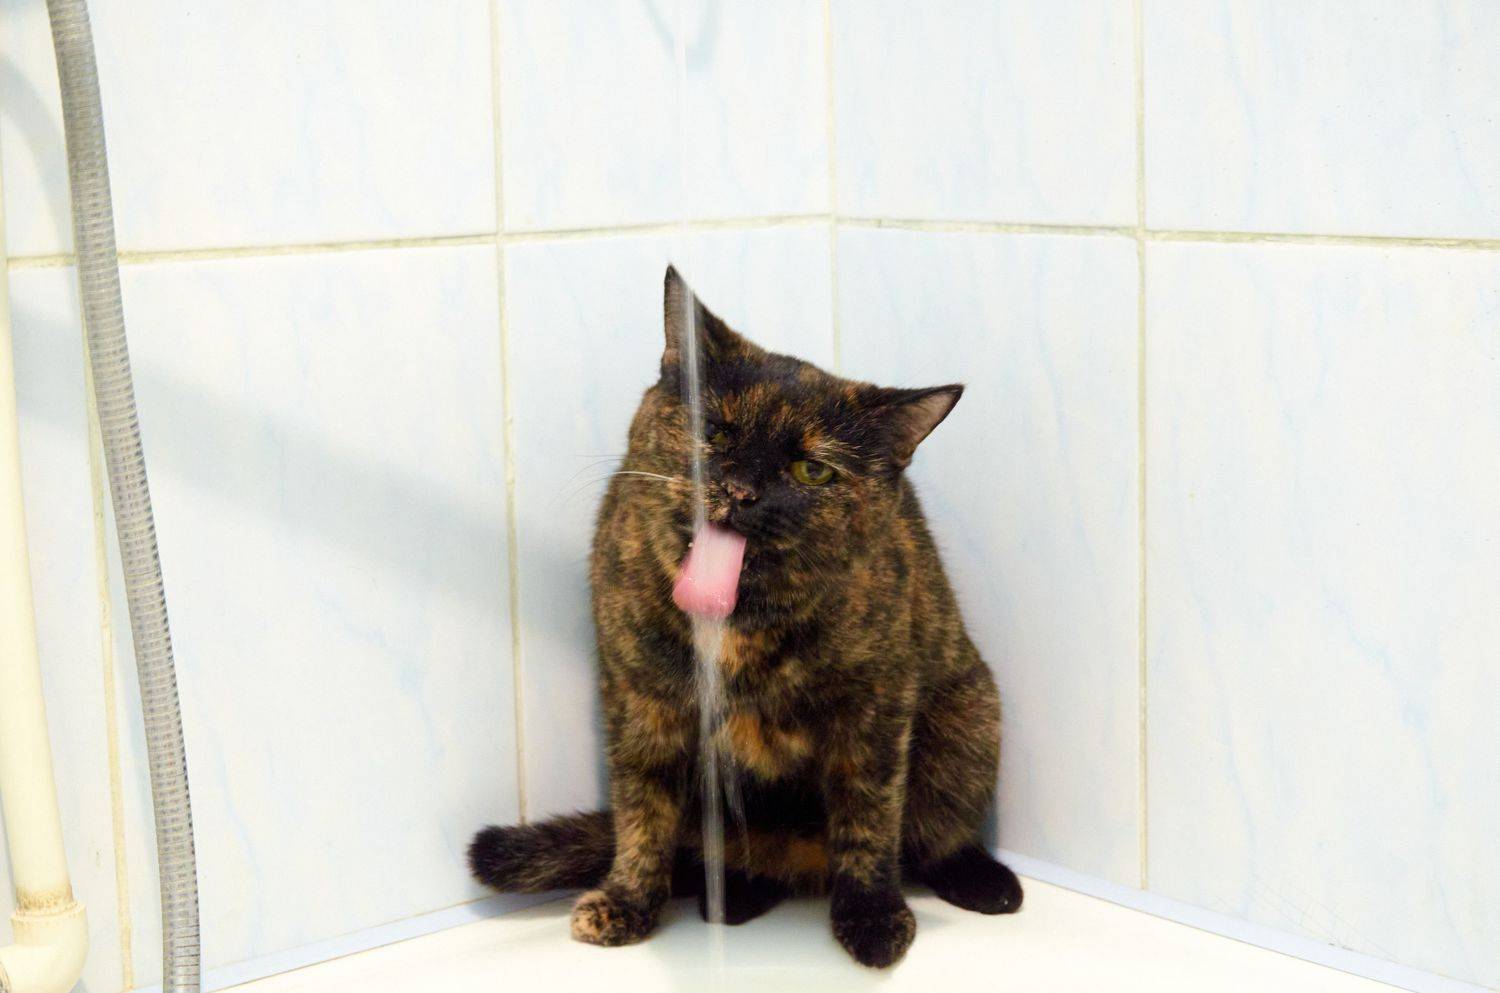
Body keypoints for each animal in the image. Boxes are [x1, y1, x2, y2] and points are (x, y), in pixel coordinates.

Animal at [469, 266, 1021, 968]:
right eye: (717, 433)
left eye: (811, 469)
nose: (740, 491)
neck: (735, 621)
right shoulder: (641, 705)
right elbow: (641, 812)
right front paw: (627, 902)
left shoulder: (874, 707)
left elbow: (869, 816)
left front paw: (872, 916)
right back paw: (731, 898)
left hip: (970, 720)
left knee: (934, 834)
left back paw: (983, 881)